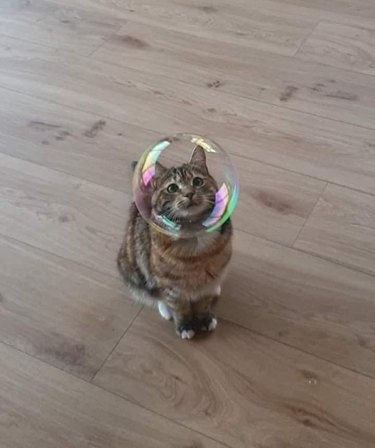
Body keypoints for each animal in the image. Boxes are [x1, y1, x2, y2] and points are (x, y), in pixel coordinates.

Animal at [117, 147, 232, 340]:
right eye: (172, 188)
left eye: (197, 181)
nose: (189, 193)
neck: (193, 231)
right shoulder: (170, 285)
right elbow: (179, 308)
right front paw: (185, 326)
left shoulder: (211, 273)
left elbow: (204, 303)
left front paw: (205, 319)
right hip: (132, 269)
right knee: (155, 295)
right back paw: (165, 310)